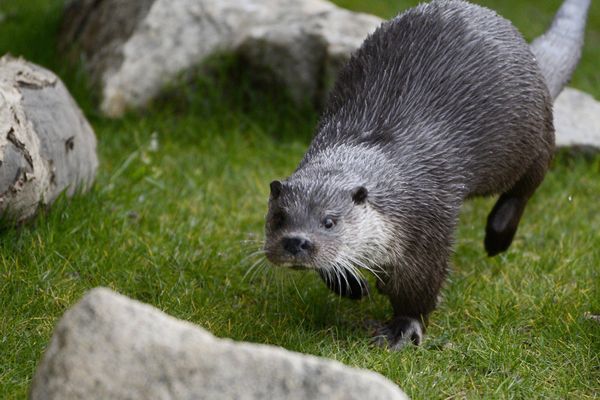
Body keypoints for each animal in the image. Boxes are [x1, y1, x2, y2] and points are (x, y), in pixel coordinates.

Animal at [264, 0, 592, 348]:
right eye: (279, 218)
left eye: (329, 221)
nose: (296, 241)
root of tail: (530, 57)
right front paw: (350, 284)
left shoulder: (427, 221)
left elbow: (420, 286)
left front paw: (402, 328)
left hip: (527, 136)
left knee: (531, 178)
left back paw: (498, 236)